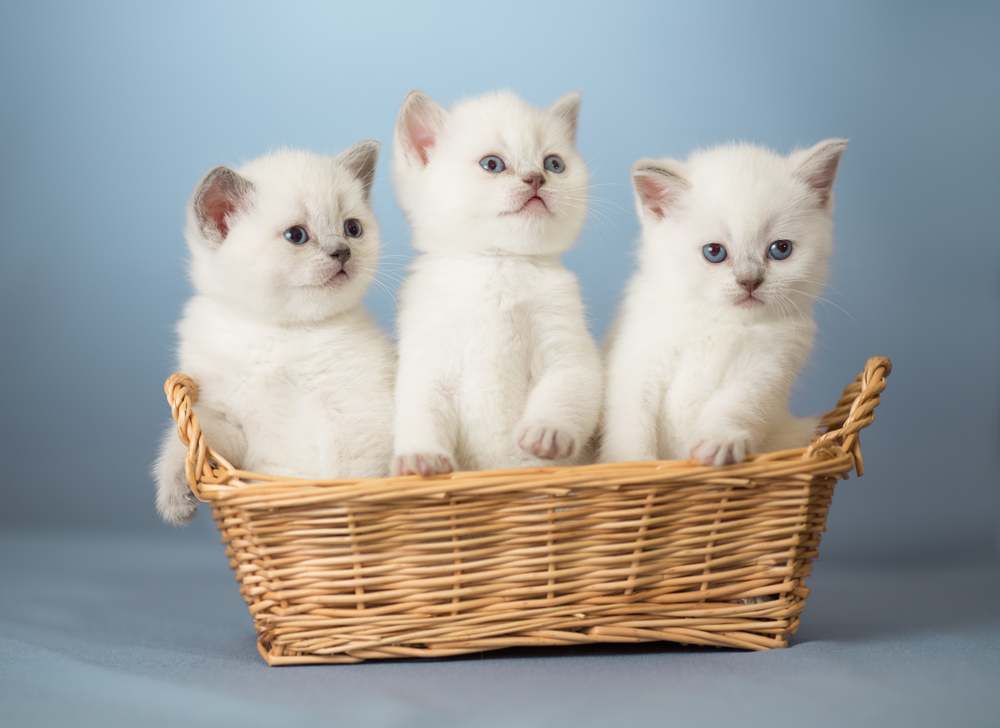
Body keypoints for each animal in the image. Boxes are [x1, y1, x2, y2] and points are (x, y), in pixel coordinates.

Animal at [152, 146, 394, 524]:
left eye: (352, 228)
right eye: (296, 236)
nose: (343, 251)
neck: (280, 333)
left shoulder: (358, 416)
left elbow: (347, 479)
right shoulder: (227, 419)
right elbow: (188, 446)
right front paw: (176, 497)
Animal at [390, 89, 600, 478]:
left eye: (554, 164)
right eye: (492, 164)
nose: (536, 178)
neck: (500, 263)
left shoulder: (569, 348)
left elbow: (568, 387)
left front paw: (547, 432)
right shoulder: (427, 361)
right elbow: (420, 410)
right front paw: (421, 458)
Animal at [596, 139, 848, 464]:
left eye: (781, 249)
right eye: (714, 252)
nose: (749, 281)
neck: (720, 321)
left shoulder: (768, 368)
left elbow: (739, 403)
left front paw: (720, 441)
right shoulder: (639, 358)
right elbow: (631, 420)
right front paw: (634, 463)